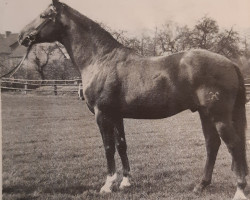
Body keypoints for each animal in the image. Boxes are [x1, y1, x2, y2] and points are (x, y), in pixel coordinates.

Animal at [18, 0, 248, 199]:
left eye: (43, 15)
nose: (21, 36)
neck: (100, 60)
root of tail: (230, 63)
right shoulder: (116, 115)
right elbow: (122, 145)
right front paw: (126, 182)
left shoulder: (103, 114)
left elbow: (108, 147)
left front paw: (108, 184)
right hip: (204, 113)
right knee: (212, 144)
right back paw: (201, 185)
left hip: (218, 115)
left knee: (234, 145)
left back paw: (239, 191)